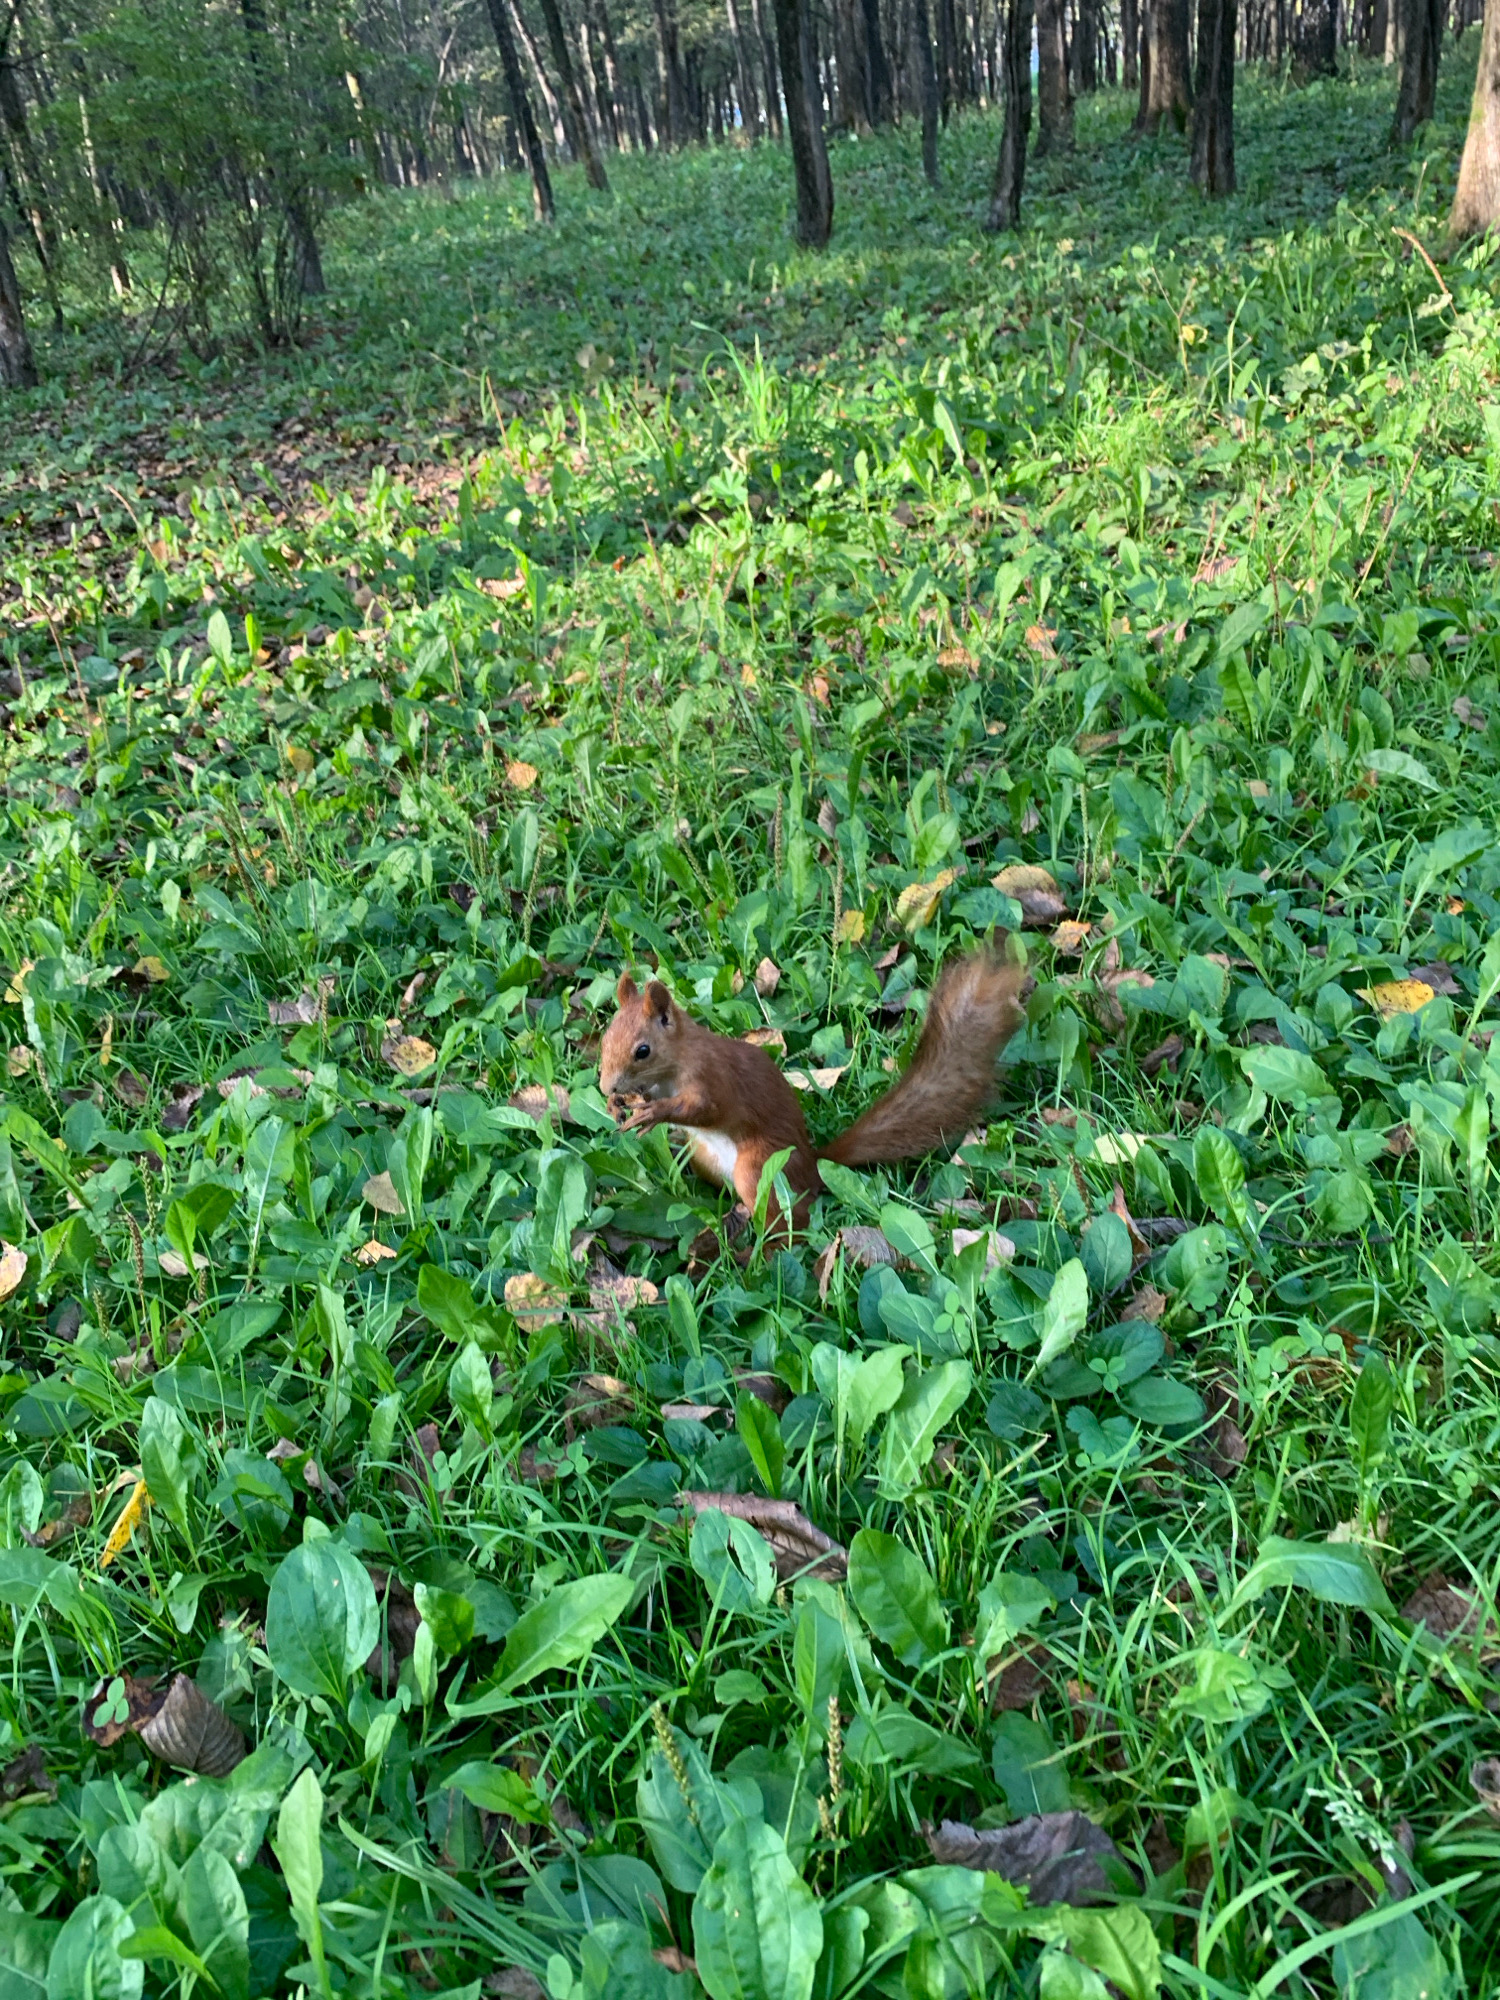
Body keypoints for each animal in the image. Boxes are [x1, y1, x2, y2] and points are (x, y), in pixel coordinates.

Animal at [599, 948, 1029, 1233]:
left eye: (642, 1050)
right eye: (605, 1038)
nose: (605, 1084)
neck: (676, 1061)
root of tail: (813, 1165)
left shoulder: (712, 1077)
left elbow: (705, 1109)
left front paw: (652, 1113)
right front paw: (620, 1104)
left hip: (759, 1168)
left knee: (793, 1219)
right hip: (707, 1159)